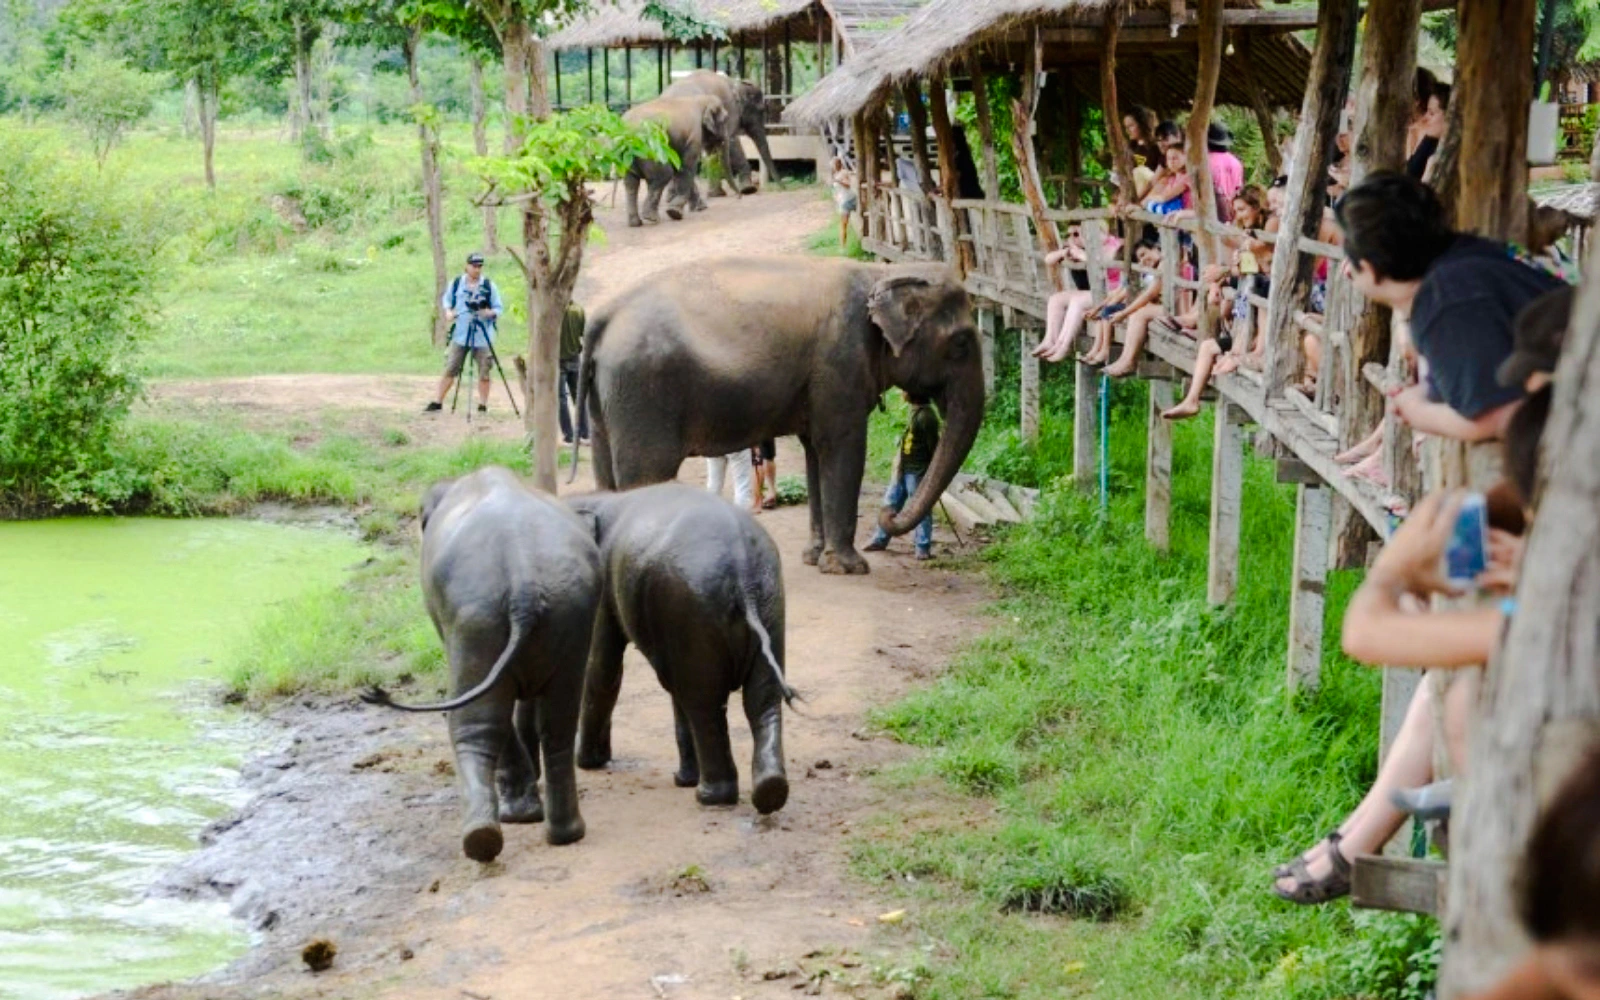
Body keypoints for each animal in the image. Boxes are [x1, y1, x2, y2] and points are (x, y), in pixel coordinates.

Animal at [362, 466, 602, 862]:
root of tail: (523, 583)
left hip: (477, 618)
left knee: (476, 723)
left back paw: (485, 836)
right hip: (569, 611)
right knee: (559, 721)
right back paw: (565, 833)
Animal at [565, 482, 795, 813]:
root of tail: (744, 573)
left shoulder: (602, 585)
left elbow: (602, 669)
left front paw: (585, 762)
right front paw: (681, 780)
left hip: (695, 605)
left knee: (704, 702)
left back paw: (710, 797)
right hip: (768, 600)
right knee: (760, 697)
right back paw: (769, 792)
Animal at [569, 257, 984, 575]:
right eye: (962, 343)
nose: (886, 513)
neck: (882, 271)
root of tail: (603, 318)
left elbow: (815, 451)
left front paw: (814, 558)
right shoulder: (840, 365)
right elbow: (843, 448)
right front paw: (849, 568)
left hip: (608, 398)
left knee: (606, 474)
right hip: (643, 391)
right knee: (645, 474)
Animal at [622, 94, 728, 228]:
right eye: (725, 120)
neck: (699, 99)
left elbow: (679, 166)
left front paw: (700, 208)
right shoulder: (694, 137)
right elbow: (686, 167)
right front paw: (674, 213)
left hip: (627, 157)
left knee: (631, 182)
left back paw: (635, 223)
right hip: (651, 150)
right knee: (663, 176)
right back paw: (651, 218)